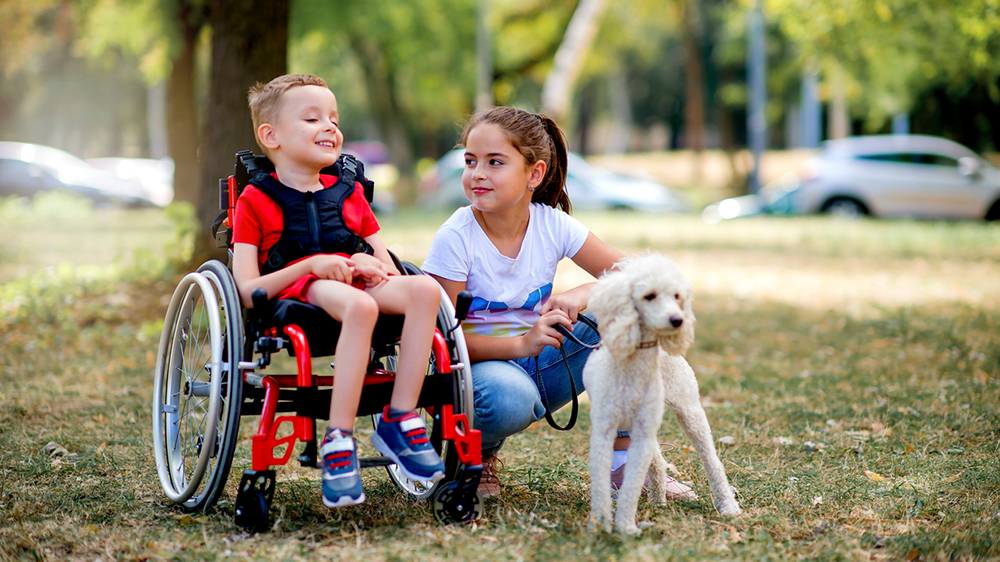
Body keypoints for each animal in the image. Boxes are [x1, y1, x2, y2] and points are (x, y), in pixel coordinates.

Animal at [584, 252, 740, 532]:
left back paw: (727, 505)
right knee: (657, 460)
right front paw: (601, 524)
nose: (677, 320)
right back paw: (658, 500)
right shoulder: (604, 430)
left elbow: (632, 483)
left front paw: (625, 527)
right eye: (649, 296)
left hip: (688, 409)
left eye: (677, 296)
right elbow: (601, 484)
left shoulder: (642, 429)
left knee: (711, 460)